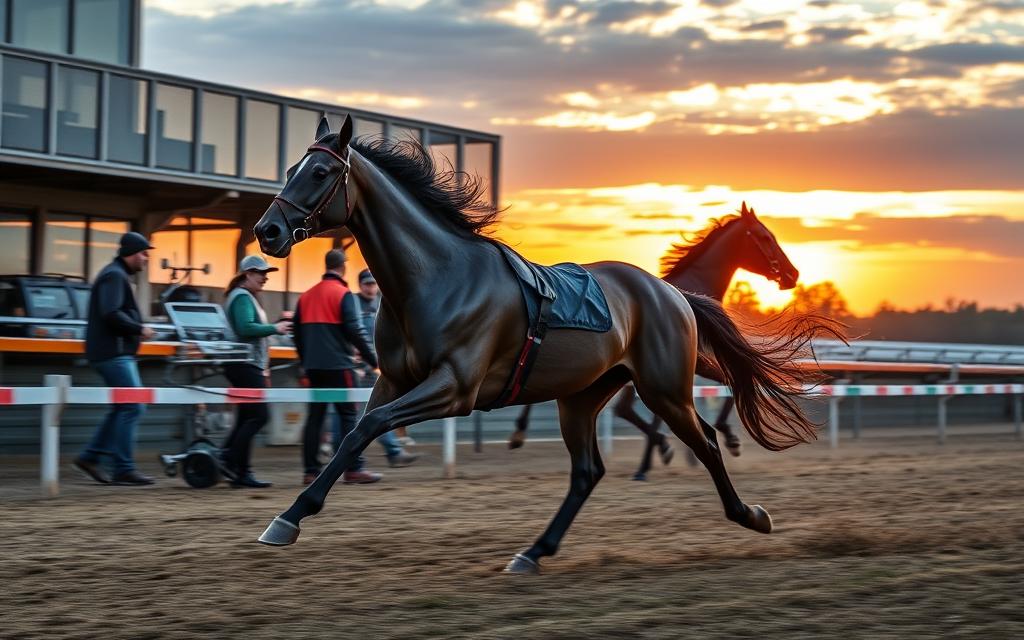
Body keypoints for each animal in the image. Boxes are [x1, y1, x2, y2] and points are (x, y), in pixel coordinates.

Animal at [249, 116, 839, 573]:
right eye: (291, 169)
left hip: (665, 388)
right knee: (587, 472)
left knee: (705, 443)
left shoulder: (454, 389)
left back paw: (749, 513)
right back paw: (534, 551)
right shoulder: (394, 381)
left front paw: (291, 515)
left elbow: (366, 427)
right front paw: (288, 516)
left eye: (321, 172)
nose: (267, 231)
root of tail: (670, 293)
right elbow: (356, 432)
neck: (435, 277)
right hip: (581, 396)